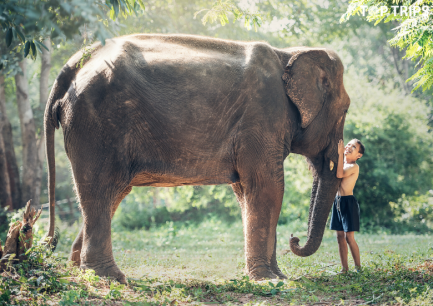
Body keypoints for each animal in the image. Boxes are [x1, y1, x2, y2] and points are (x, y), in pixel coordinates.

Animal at [44, 32, 348, 282]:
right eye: (345, 110)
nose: (294, 239)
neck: (288, 53)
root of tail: (73, 65)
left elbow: (245, 192)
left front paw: (276, 276)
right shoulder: (262, 117)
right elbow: (268, 188)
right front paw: (271, 280)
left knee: (112, 193)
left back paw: (79, 268)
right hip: (96, 124)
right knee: (101, 188)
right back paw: (110, 277)